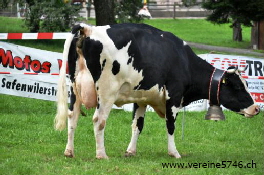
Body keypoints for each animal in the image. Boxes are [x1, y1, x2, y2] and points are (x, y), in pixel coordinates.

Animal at [54, 22, 260, 159]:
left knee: (73, 117)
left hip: (74, 89)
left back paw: (69, 151)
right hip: (106, 92)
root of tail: (88, 28)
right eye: (238, 86)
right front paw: (174, 152)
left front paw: (131, 151)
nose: (256, 108)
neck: (183, 59)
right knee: (99, 120)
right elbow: (171, 125)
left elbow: (137, 125)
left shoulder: (141, 98)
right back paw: (101, 154)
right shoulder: (174, 96)